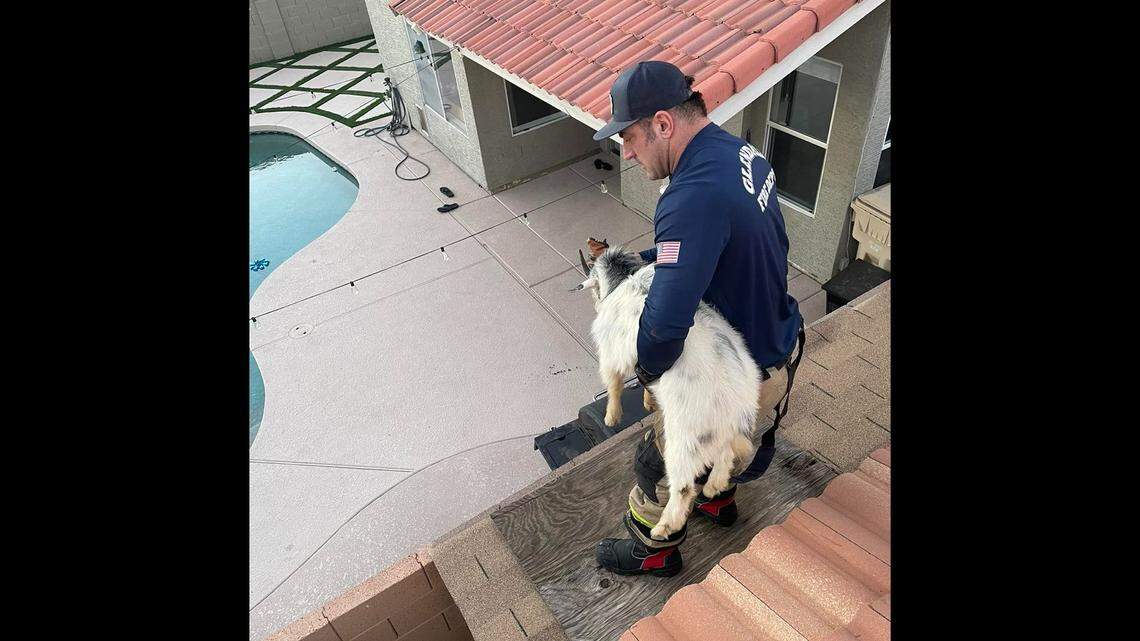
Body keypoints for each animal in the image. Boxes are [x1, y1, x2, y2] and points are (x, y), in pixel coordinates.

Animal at [577, 245, 762, 540]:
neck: (624, 278)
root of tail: (733, 401)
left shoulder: (610, 354)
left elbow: (614, 383)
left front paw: (611, 417)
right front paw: (648, 402)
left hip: (681, 445)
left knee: (684, 487)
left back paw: (664, 526)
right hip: (723, 433)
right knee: (724, 456)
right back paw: (714, 487)